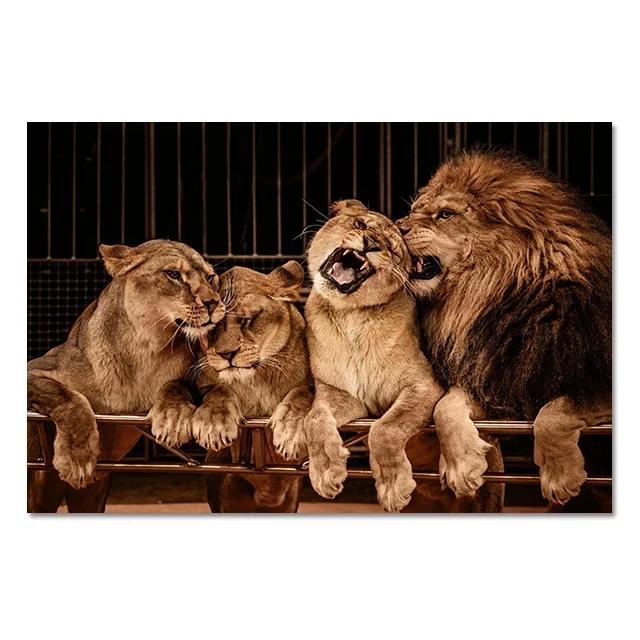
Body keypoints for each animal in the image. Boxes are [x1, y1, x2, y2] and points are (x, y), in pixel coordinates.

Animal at [27, 240, 224, 512]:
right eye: (173, 274)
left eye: (210, 277)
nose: (214, 303)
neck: (147, 347)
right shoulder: (36, 368)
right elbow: (68, 398)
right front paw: (77, 457)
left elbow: (177, 385)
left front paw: (173, 417)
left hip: (93, 493)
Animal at [150, 261, 312, 512]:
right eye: (212, 327)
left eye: (247, 320)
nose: (227, 354)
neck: (256, 380)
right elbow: (190, 387)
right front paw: (190, 421)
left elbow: (304, 394)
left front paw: (291, 429)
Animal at [303, 199, 503, 512]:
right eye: (360, 224)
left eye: (392, 250)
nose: (371, 244)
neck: (350, 316)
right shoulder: (339, 394)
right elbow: (313, 419)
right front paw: (325, 473)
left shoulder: (423, 387)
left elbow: (385, 429)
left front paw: (393, 486)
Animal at [396, 150, 612, 505]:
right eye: (415, 209)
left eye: (445, 214)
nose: (396, 226)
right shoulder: (496, 376)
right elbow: (445, 406)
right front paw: (461, 467)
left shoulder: (593, 379)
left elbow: (555, 411)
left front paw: (560, 477)